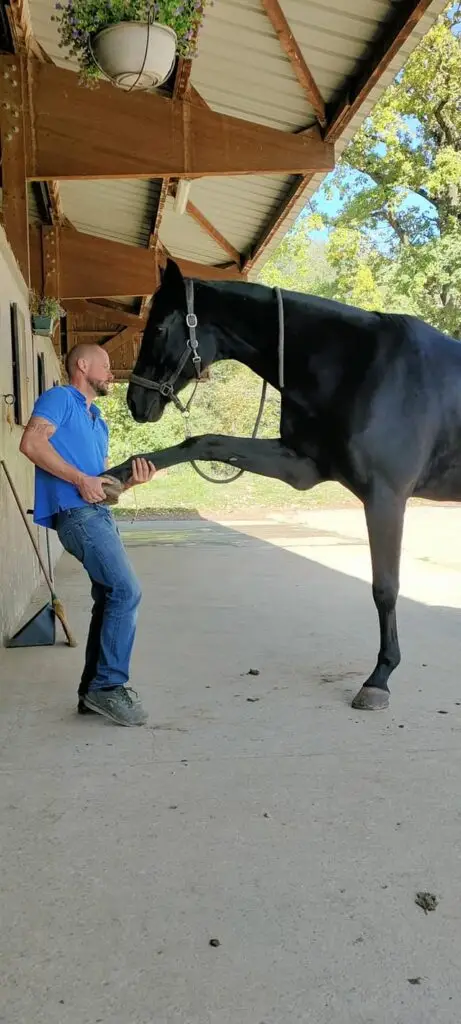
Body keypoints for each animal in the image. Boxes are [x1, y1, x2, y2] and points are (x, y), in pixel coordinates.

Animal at [105, 260, 461, 712]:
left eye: (160, 327)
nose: (136, 402)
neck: (357, 366)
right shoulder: (300, 466)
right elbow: (202, 443)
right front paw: (114, 477)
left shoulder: (386, 497)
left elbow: (385, 587)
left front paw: (379, 678)